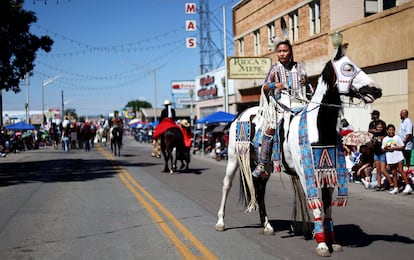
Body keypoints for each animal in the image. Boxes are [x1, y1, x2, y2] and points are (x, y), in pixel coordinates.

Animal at [215, 44, 384, 256]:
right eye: (347, 68)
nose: (376, 89)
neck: (318, 127)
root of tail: (242, 114)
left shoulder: (327, 170)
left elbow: (327, 207)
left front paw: (332, 240)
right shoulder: (306, 173)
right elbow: (317, 206)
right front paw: (322, 244)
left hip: (265, 165)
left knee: (260, 189)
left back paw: (267, 225)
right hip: (233, 158)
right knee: (226, 185)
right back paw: (220, 222)